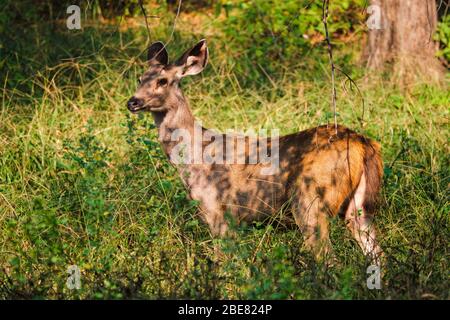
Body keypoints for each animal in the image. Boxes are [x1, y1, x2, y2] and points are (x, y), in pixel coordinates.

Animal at [125, 39, 384, 262]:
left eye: (162, 81)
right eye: (139, 78)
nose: (132, 101)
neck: (193, 156)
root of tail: (363, 143)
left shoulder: (217, 211)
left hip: (310, 200)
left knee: (329, 258)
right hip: (358, 208)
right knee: (376, 253)